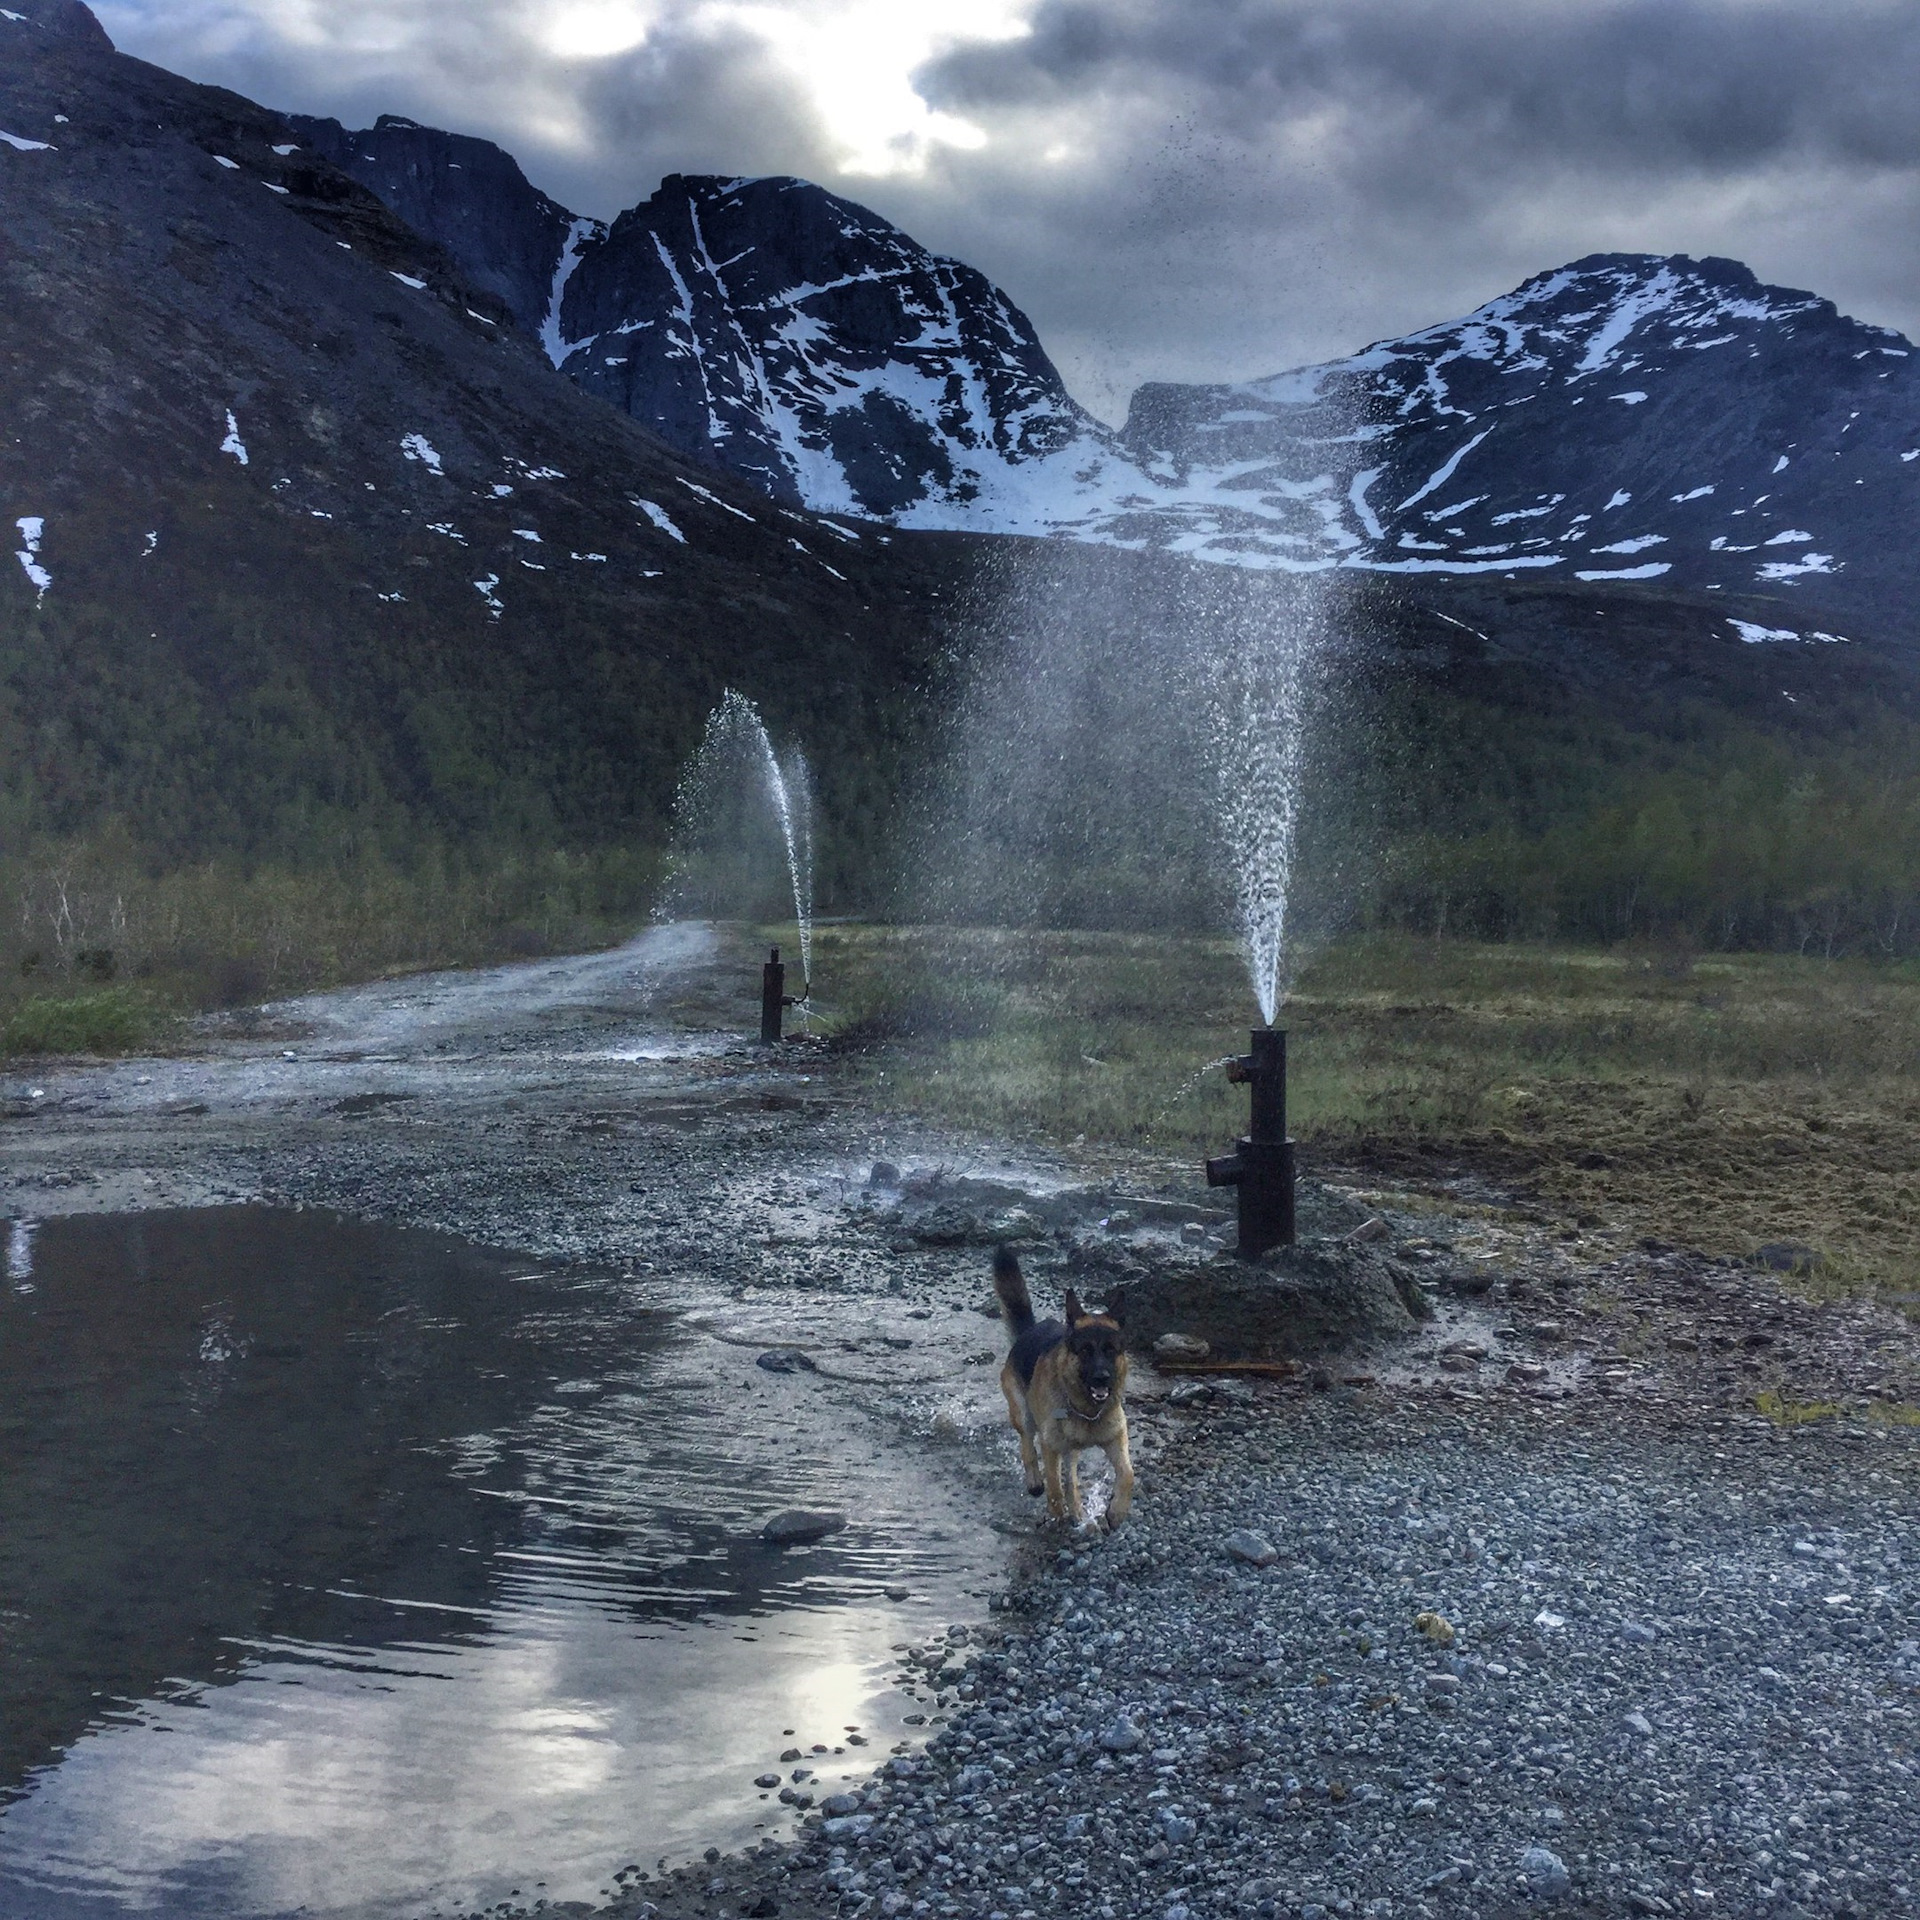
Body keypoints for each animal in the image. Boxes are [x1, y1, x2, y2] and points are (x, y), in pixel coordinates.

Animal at [998, 1244, 1128, 1528]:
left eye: (1111, 1350)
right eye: (1085, 1350)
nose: (1102, 1378)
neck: (1087, 1410)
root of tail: (1029, 1331)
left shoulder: (1116, 1438)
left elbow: (1127, 1474)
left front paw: (1116, 1512)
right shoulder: (1051, 1446)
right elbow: (1054, 1486)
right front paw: (1056, 1517)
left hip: (1071, 1449)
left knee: (1071, 1478)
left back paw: (1077, 1509)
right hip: (1023, 1414)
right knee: (1027, 1446)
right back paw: (1035, 1482)